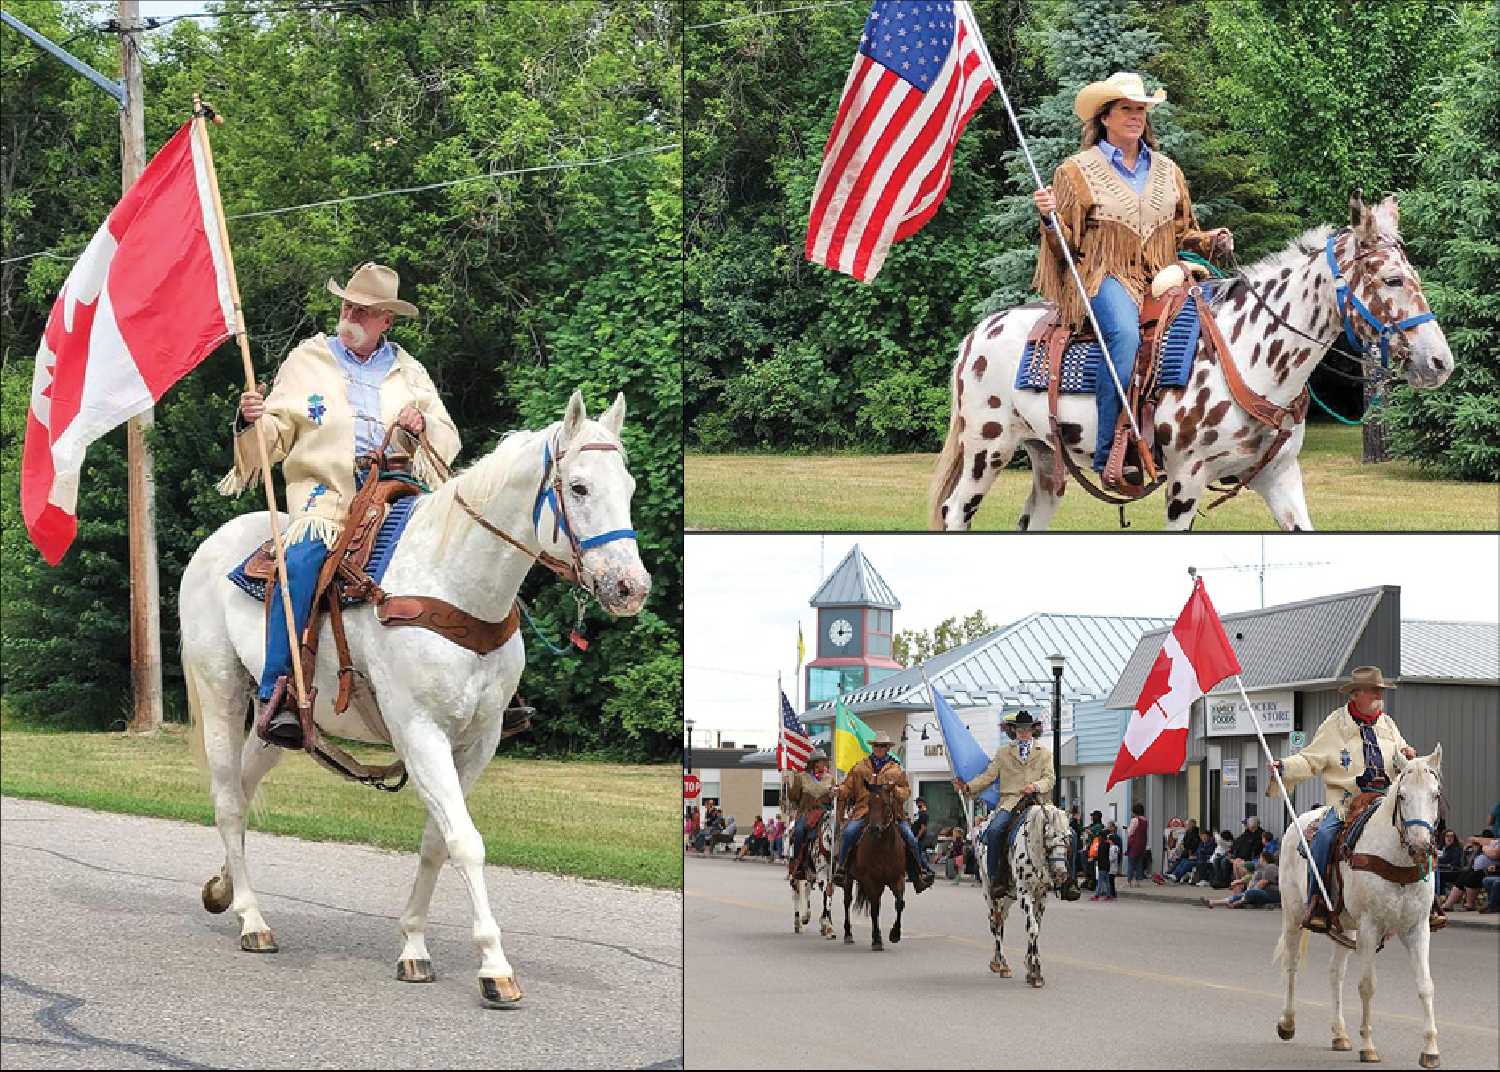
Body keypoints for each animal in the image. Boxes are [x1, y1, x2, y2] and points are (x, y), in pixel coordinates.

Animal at [178, 392, 648, 1007]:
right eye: (579, 487)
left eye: (629, 485)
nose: (631, 588)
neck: (455, 584)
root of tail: (211, 547)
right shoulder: (420, 731)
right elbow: (465, 841)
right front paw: (495, 966)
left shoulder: (478, 741)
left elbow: (436, 842)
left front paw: (414, 947)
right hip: (222, 693)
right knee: (230, 802)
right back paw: (253, 920)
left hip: (280, 724)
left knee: (247, 783)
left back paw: (223, 891)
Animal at [840, 785, 906, 953]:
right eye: (869, 804)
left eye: (886, 804)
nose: (875, 828)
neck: (884, 848)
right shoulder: (871, 880)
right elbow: (875, 908)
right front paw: (876, 939)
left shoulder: (897, 878)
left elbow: (899, 903)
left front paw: (895, 934)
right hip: (848, 877)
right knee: (847, 901)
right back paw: (848, 934)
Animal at [930, 191, 1458, 533]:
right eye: (1392, 279)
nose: (1439, 362)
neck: (1249, 356)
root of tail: (977, 333)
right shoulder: (1184, 483)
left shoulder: (1280, 478)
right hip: (986, 450)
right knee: (955, 512)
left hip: (1044, 461)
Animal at [972, 803, 1080, 989]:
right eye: (1049, 836)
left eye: (1067, 838)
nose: (1060, 873)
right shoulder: (1025, 892)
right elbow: (1032, 927)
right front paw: (1036, 972)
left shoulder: (1042, 894)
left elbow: (1036, 927)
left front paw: (1030, 968)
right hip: (988, 890)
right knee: (995, 922)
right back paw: (1002, 964)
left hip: (1009, 895)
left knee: (1001, 920)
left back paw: (998, 962)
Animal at [1278, 749, 1440, 1067]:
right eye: (1402, 795)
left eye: (1435, 795)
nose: (1419, 847)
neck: (1396, 860)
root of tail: (1296, 823)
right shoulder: (1370, 926)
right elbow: (1367, 985)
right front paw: (1368, 1045)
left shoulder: (1417, 928)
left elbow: (1426, 985)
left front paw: (1430, 1049)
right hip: (1293, 915)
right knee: (1292, 965)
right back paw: (1288, 1023)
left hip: (1345, 927)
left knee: (1335, 973)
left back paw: (1340, 1034)